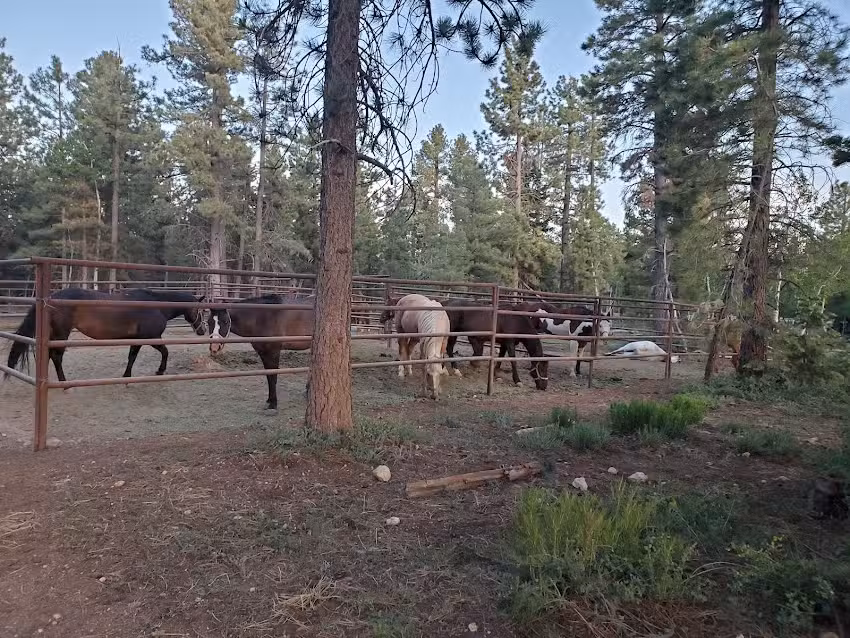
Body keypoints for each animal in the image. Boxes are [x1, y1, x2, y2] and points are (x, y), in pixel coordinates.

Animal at [4, 287, 206, 381]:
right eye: (200, 310)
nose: (202, 330)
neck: (157, 305)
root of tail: (51, 298)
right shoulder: (152, 338)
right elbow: (165, 351)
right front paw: (160, 371)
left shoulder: (137, 340)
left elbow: (131, 357)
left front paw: (126, 376)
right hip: (61, 334)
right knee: (57, 357)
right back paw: (64, 383)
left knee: (47, 355)